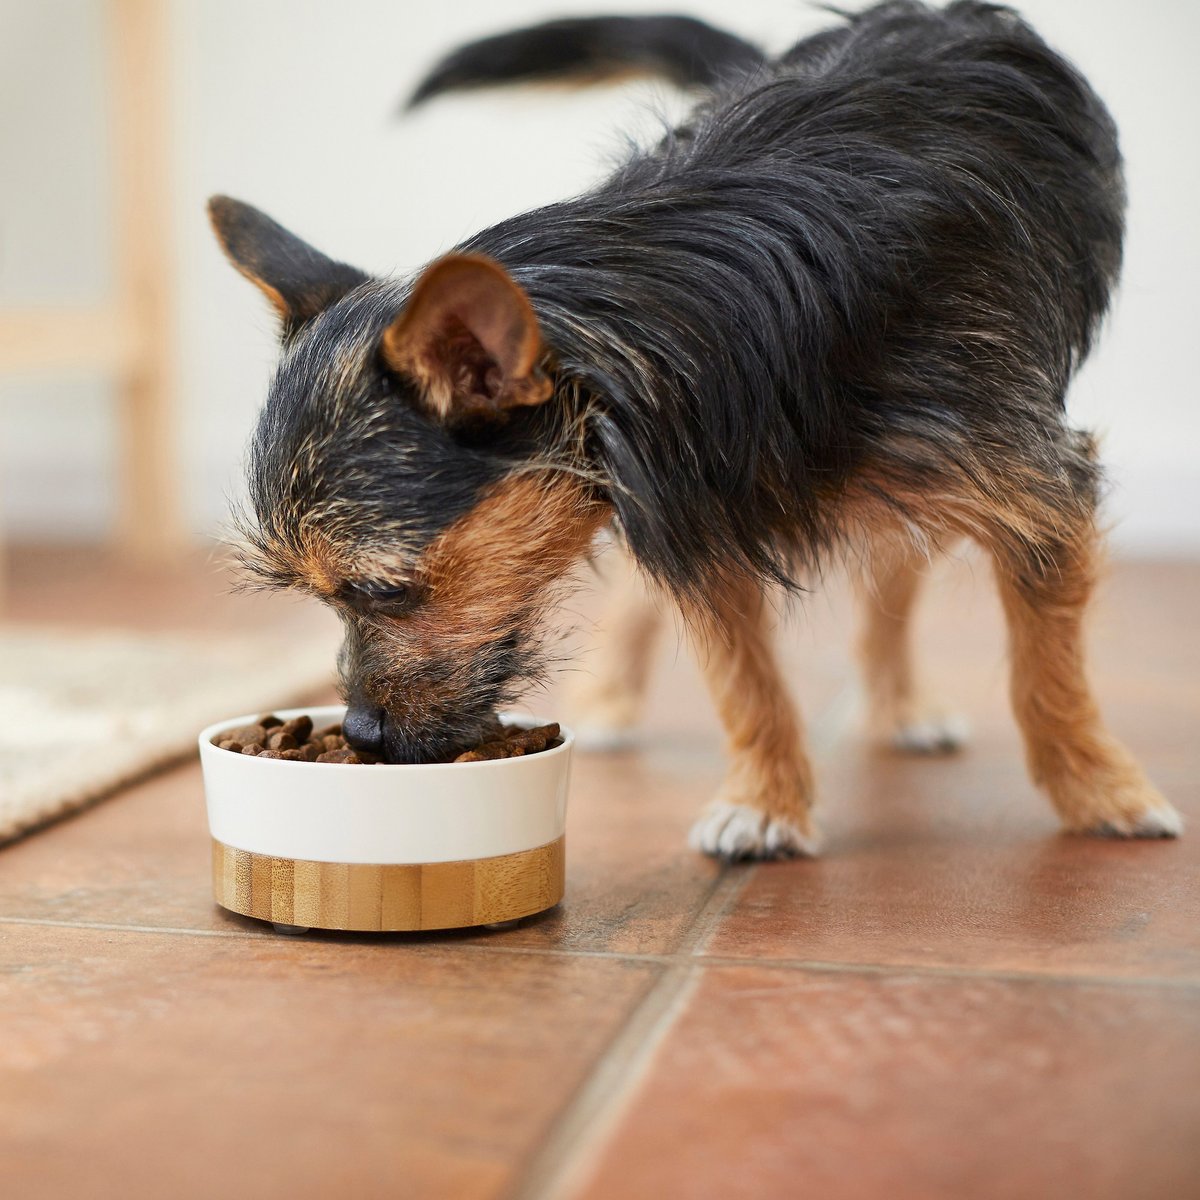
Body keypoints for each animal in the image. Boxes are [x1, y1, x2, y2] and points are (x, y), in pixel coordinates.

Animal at [208, 2, 1180, 864]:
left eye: (383, 590)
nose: (363, 735)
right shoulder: (688, 509)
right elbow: (743, 681)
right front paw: (768, 803)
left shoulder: (1034, 489)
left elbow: (1047, 675)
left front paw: (1099, 790)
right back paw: (614, 700)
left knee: (894, 570)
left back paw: (901, 705)